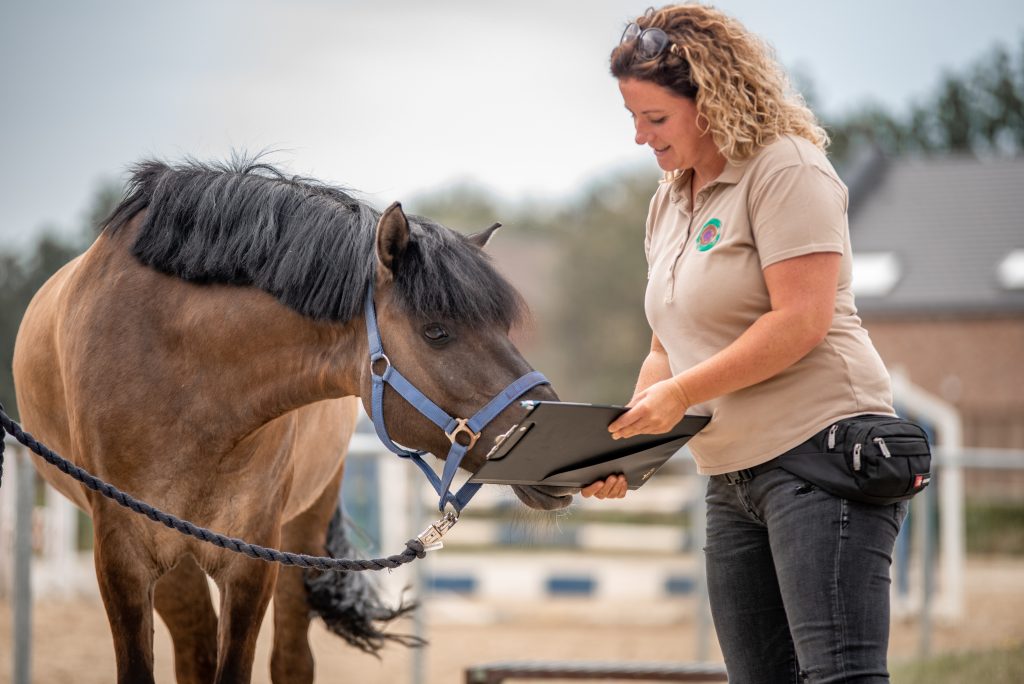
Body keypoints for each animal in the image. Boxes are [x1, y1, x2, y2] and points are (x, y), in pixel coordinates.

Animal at [14, 157, 577, 679]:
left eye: (503, 326)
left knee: (288, 659)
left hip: (299, 536)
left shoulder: (253, 560)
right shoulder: (124, 559)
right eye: (436, 331)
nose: (564, 441)